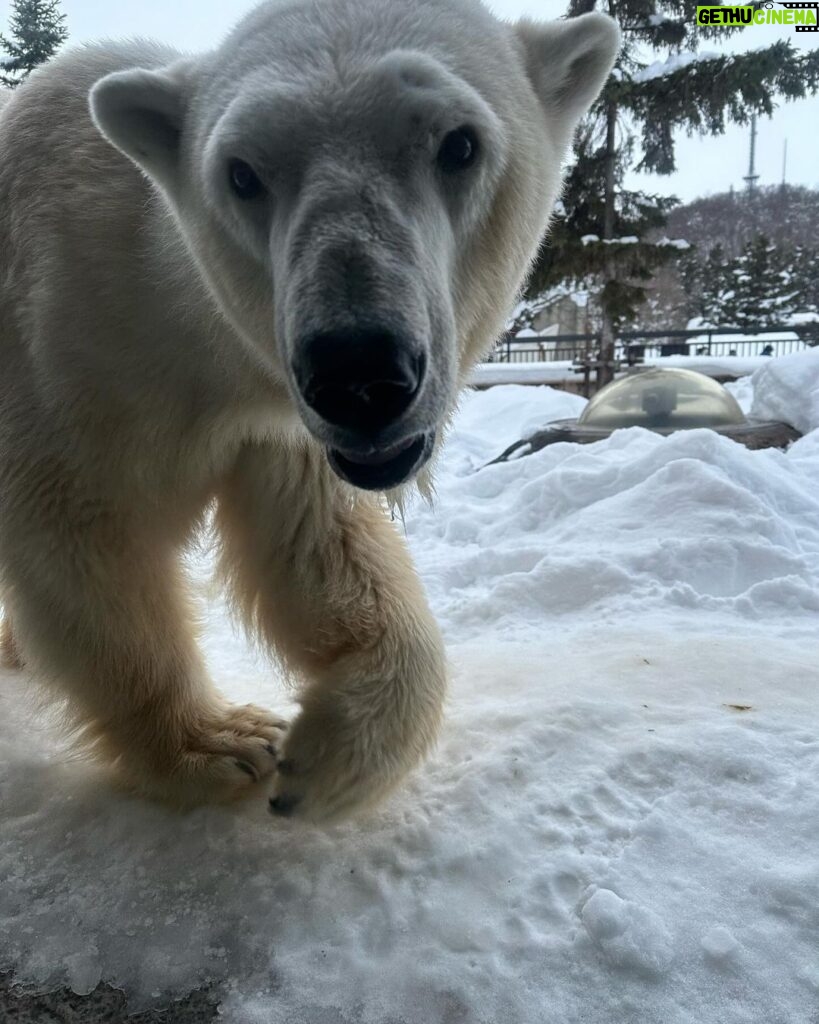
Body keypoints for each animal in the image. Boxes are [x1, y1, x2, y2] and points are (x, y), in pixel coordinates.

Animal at [0, 0, 618, 815]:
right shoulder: (66, 355)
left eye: (459, 143)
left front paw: (325, 759)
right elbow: (85, 542)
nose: (359, 372)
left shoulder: (278, 431)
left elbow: (316, 544)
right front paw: (222, 743)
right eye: (240, 172)